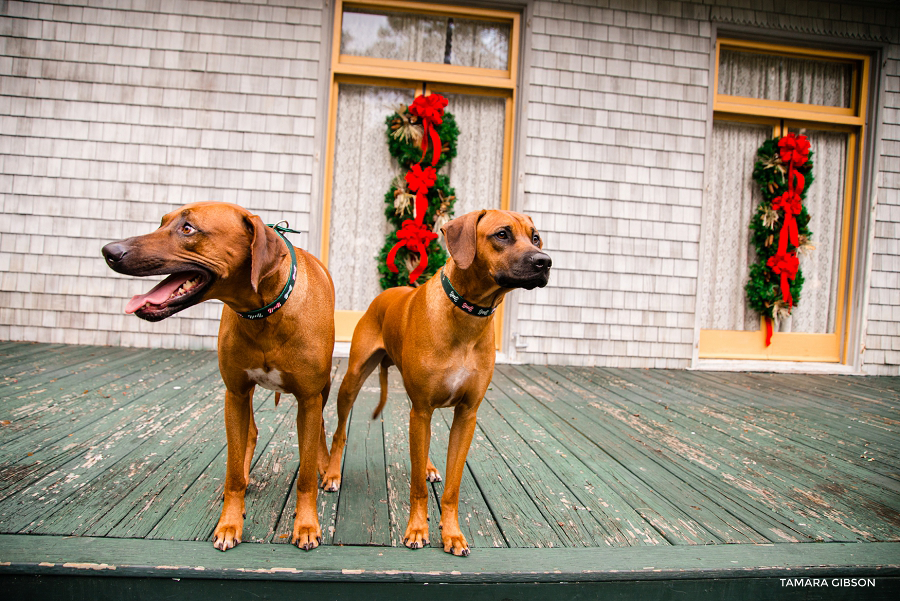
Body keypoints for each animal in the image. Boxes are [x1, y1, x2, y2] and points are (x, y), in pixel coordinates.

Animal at [101, 203, 334, 552]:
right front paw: (229, 523)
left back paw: (325, 465)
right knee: (250, 433)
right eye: (161, 222)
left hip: (324, 388)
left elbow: (305, 476)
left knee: (318, 426)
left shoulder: (309, 397)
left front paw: (306, 525)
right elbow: (233, 473)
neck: (265, 313)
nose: (110, 251)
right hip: (242, 396)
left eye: (188, 229)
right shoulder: (234, 393)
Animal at [324, 209, 548, 556]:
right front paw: (417, 529)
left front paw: (452, 533)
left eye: (535, 238)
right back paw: (333, 473)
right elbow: (415, 487)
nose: (545, 261)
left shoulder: (466, 415)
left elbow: (452, 486)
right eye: (502, 234)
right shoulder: (422, 408)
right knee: (340, 431)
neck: (468, 314)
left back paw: (428, 465)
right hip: (353, 380)